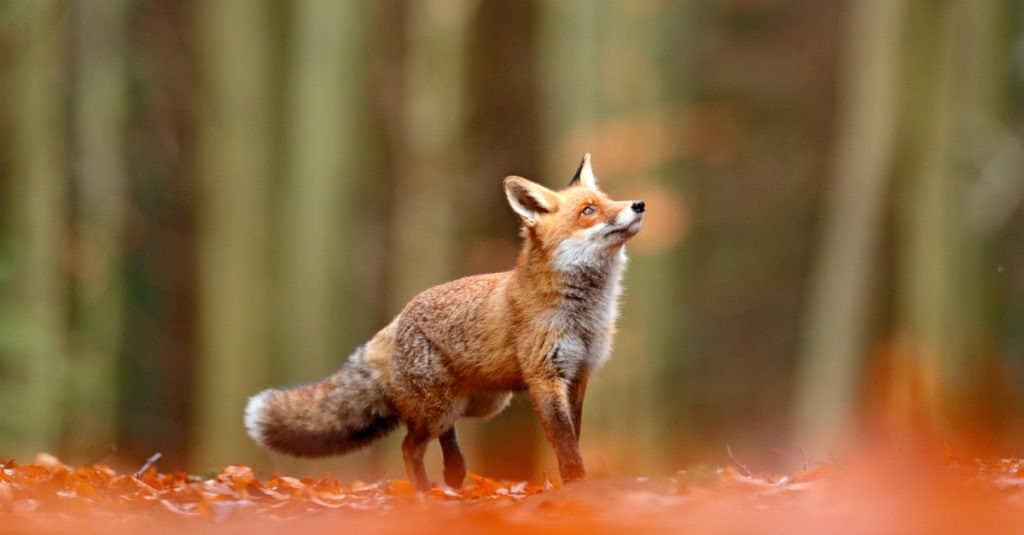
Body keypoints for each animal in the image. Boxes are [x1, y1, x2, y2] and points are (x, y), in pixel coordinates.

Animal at [244, 152, 643, 487]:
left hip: (477, 404)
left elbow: (573, 437)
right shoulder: (545, 377)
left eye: (609, 200)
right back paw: (424, 496)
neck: (585, 314)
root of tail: (397, 318)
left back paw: (454, 479)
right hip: (443, 407)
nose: (638, 204)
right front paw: (576, 487)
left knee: (444, 440)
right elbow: (565, 446)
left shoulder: (579, 375)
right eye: (588, 210)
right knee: (410, 447)